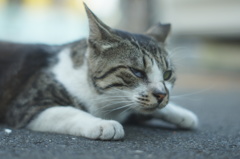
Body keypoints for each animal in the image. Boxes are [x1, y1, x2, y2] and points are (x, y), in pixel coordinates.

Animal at [0, 3, 198, 140]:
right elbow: (69, 112)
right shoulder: (28, 106)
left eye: (167, 75)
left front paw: (183, 114)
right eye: (137, 72)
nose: (161, 95)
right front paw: (103, 124)